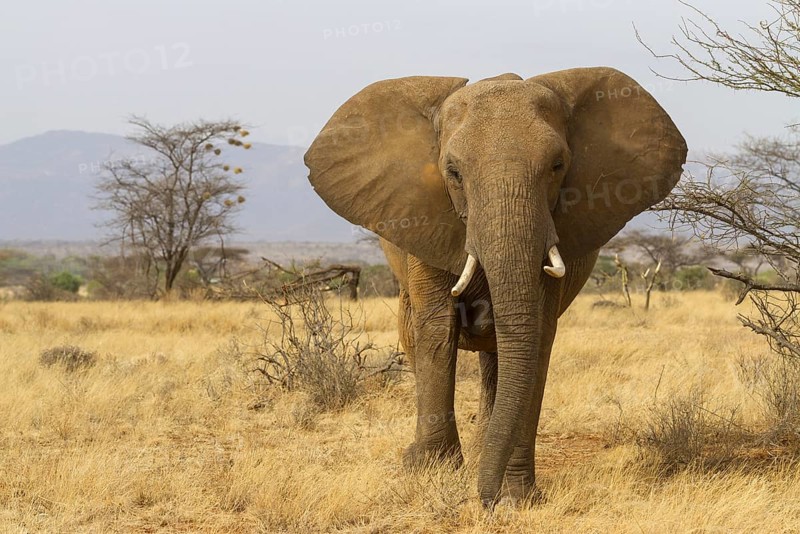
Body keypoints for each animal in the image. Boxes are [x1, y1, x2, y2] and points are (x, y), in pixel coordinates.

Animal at [304, 67, 687, 507]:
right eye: (453, 172)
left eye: (558, 166)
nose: (484, 502)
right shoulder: (426, 218)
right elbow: (436, 330)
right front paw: (432, 472)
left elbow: (535, 338)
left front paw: (518, 498)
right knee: (417, 338)